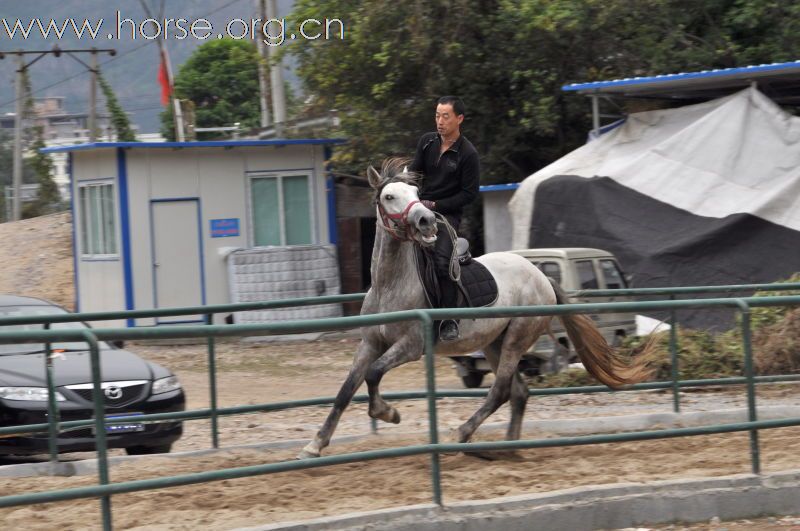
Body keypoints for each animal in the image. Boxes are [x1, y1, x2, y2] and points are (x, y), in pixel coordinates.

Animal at [296, 159, 652, 462]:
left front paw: (388, 413)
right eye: (389, 196)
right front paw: (315, 444)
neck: (390, 284)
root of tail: (542, 277)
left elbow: (373, 374)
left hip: (516, 340)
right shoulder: (370, 344)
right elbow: (346, 390)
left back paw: (461, 435)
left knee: (501, 392)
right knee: (519, 393)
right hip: (494, 344)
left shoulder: (411, 346)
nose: (426, 220)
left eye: (417, 195)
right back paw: (507, 449)